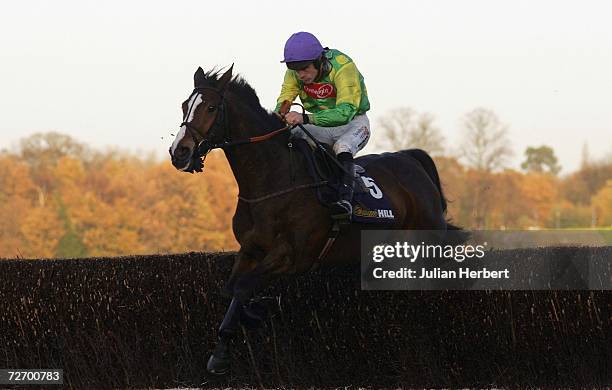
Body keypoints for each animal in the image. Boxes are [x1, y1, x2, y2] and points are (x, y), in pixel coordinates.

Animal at [167, 64, 460, 374]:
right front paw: (221, 352)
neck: (273, 180)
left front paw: (254, 314)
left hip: (427, 242)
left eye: (211, 107)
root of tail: (411, 159)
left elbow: (245, 287)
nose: (179, 152)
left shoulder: (293, 255)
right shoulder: (250, 249)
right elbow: (230, 290)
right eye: (185, 106)